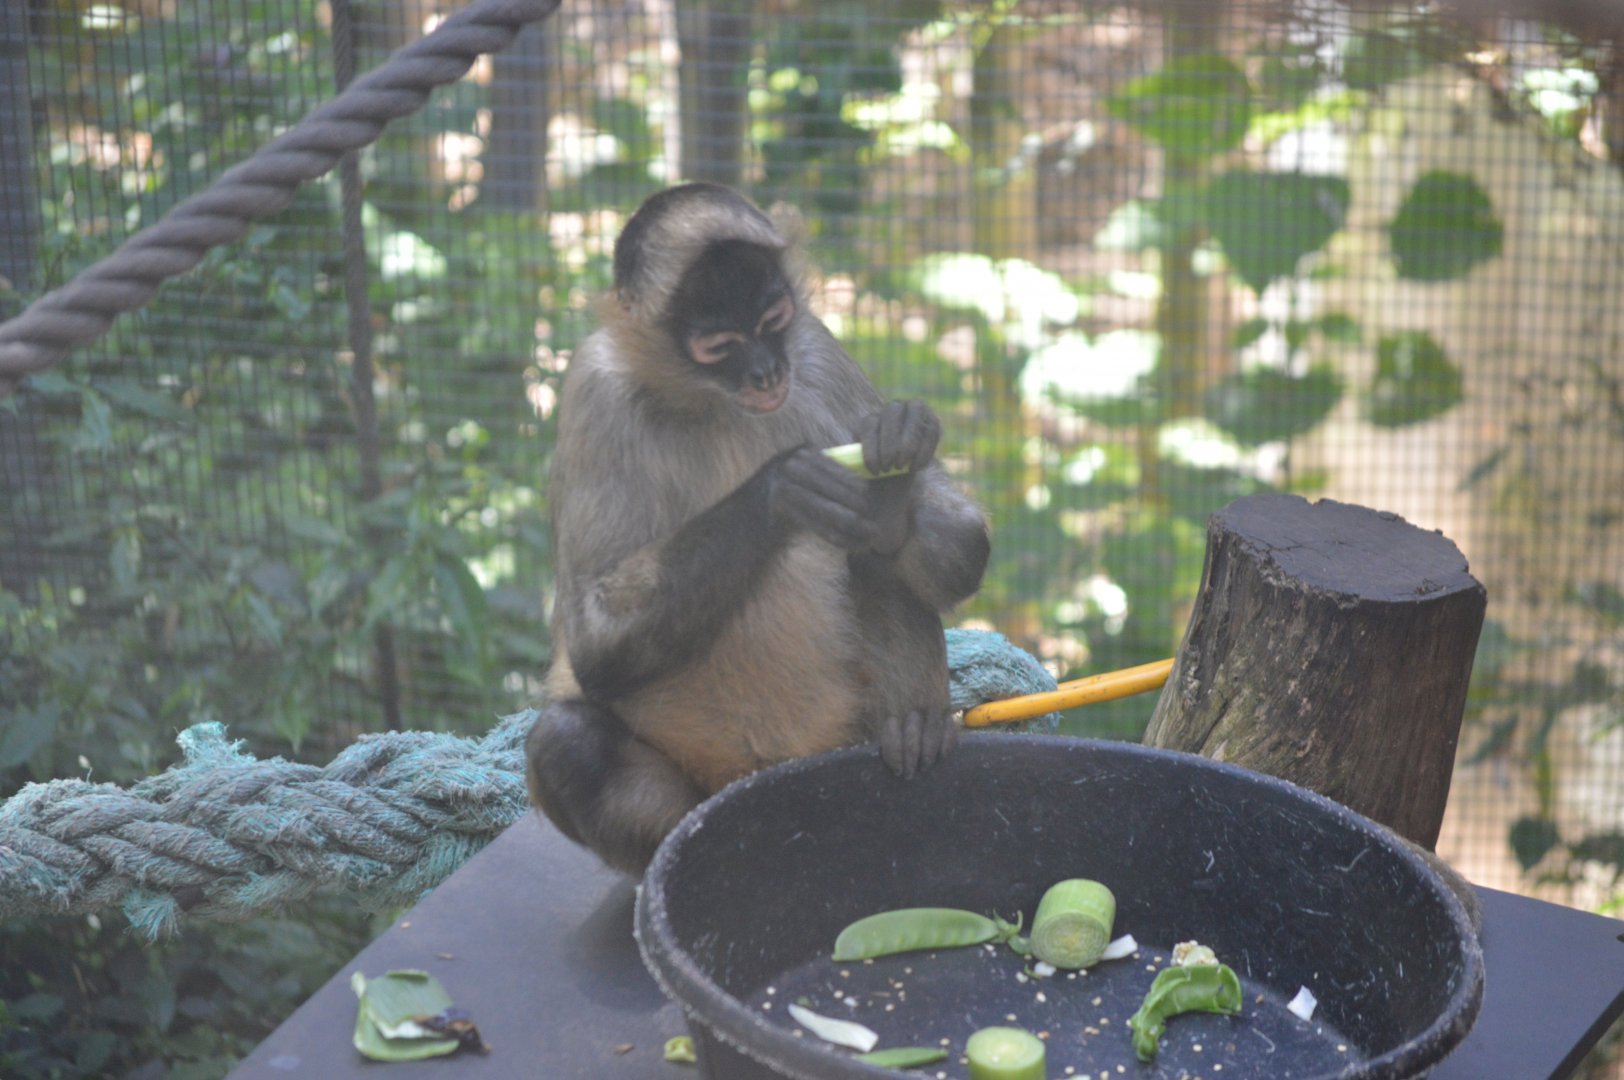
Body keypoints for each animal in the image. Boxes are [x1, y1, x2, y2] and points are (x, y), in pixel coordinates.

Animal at [525, 183, 990, 875]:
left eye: (773, 320)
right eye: (719, 346)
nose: (768, 372)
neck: (713, 401)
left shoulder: (811, 344)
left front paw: (895, 489)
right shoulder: (593, 388)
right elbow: (592, 645)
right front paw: (780, 490)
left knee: (873, 559)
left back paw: (911, 724)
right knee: (567, 739)